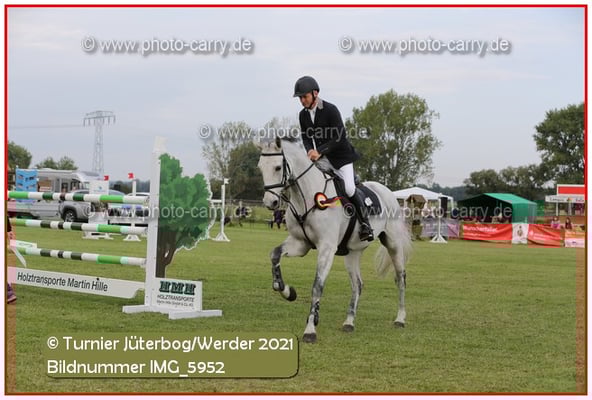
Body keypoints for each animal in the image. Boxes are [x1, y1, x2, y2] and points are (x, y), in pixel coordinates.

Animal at [256, 136, 412, 343]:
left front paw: (310, 329)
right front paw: (287, 292)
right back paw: (349, 322)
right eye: (260, 168)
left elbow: (317, 286)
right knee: (357, 285)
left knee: (400, 278)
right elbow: (274, 255)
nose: (270, 202)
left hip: (392, 243)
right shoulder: (300, 244)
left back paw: (400, 319)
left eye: (277, 167)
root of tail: (387, 192)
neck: (307, 197)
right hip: (353, 252)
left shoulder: (327, 248)